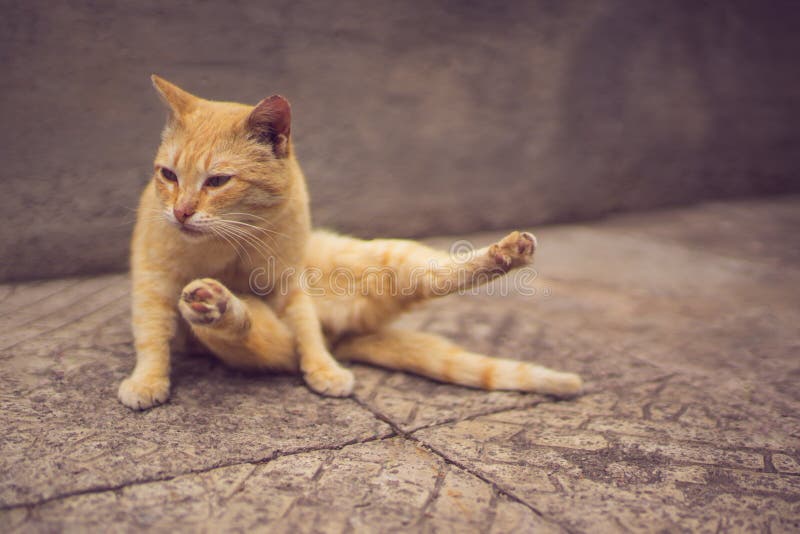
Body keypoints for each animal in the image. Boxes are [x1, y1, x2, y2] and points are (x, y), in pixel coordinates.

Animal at [119, 75, 580, 410]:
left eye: (217, 181)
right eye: (168, 175)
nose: (180, 212)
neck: (230, 241)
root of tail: (341, 331)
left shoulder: (289, 285)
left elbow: (306, 331)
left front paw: (323, 370)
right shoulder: (152, 281)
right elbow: (151, 334)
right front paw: (147, 381)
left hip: (388, 258)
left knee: (443, 275)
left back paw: (509, 252)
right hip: (249, 340)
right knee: (241, 325)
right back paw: (211, 303)